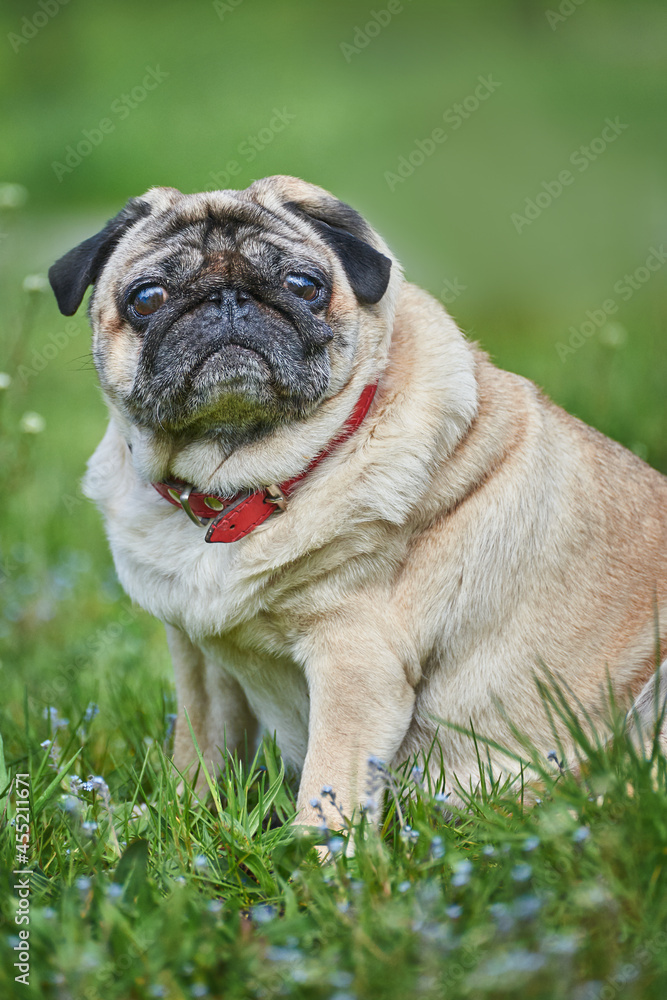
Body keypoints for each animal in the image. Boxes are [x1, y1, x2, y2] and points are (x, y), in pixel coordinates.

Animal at [49, 174, 667, 828]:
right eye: (147, 297)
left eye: (304, 286)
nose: (228, 298)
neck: (238, 488)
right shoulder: (201, 661)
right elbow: (201, 747)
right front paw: (186, 815)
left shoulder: (355, 661)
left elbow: (329, 785)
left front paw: (315, 850)